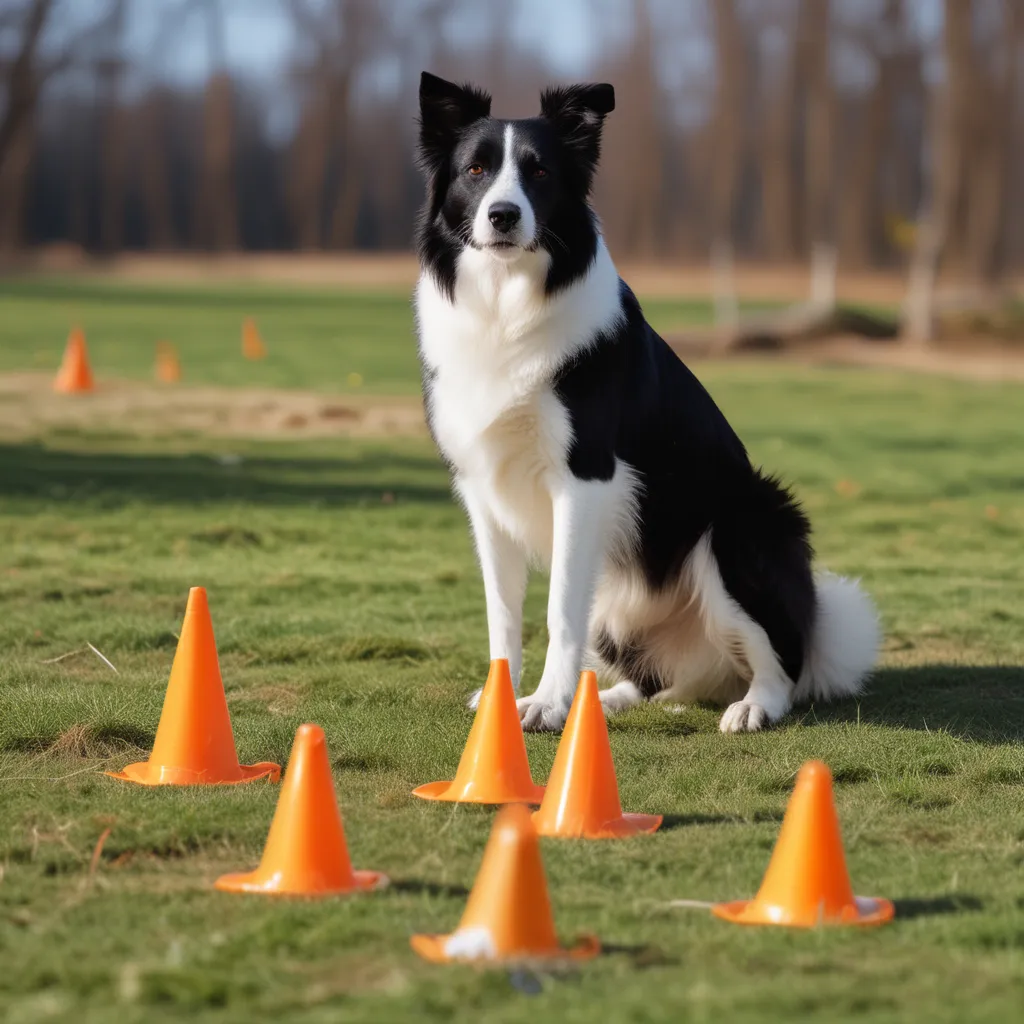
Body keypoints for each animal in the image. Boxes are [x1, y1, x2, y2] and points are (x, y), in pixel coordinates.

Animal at [411, 75, 876, 733]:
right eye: (475, 169)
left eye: (540, 171)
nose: (503, 215)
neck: (509, 305)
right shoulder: (483, 486)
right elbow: (502, 613)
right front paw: (508, 701)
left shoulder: (584, 479)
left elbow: (558, 610)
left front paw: (548, 706)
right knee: (654, 679)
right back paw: (608, 697)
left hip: (738, 525)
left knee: (783, 662)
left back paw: (752, 706)